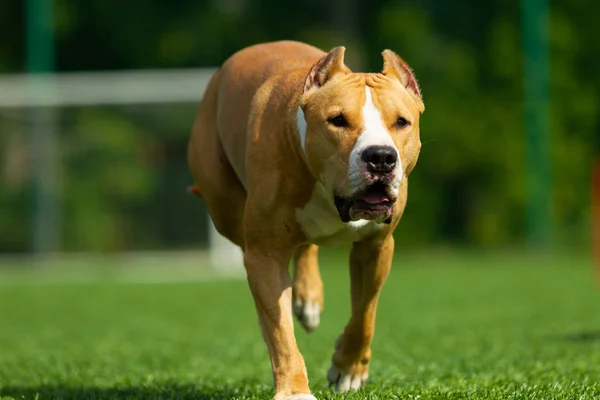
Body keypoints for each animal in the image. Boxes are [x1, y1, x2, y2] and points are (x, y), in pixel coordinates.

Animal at [185, 40, 424, 400]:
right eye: (337, 120)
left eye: (401, 121)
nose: (381, 156)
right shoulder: (265, 254)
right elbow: (281, 332)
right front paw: (294, 390)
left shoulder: (376, 246)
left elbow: (365, 313)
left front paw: (348, 369)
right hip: (225, 209)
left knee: (306, 246)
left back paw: (308, 298)